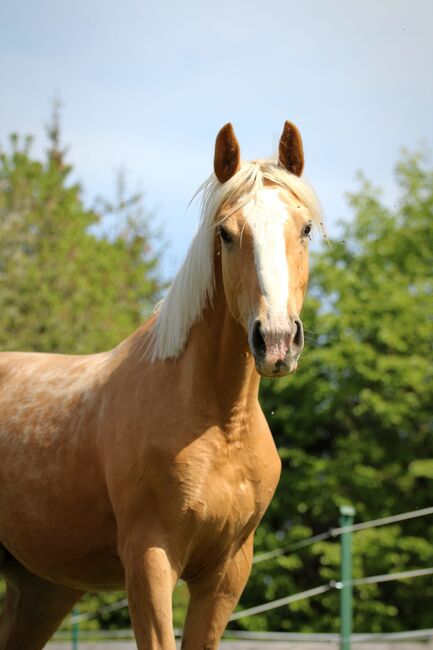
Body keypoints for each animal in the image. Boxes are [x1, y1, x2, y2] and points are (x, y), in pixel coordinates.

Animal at [0, 120, 322, 644]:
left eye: (305, 228)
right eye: (225, 233)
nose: (276, 340)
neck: (220, 425)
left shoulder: (226, 572)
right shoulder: (150, 560)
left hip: (42, 590)